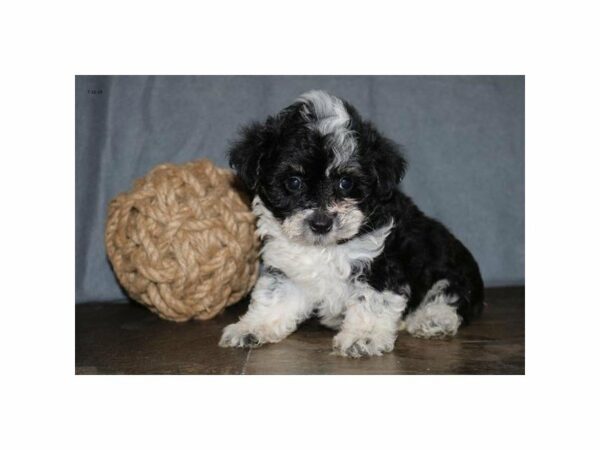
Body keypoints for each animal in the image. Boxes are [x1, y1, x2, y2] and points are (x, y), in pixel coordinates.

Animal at [218, 90, 486, 358]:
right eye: (294, 182)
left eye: (345, 183)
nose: (321, 223)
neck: (325, 247)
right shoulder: (289, 269)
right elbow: (275, 296)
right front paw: (252, 328)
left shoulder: (380, 264)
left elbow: (372, 300)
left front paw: (363, 338)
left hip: (451, 269)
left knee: (450, 296)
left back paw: (432, 319)